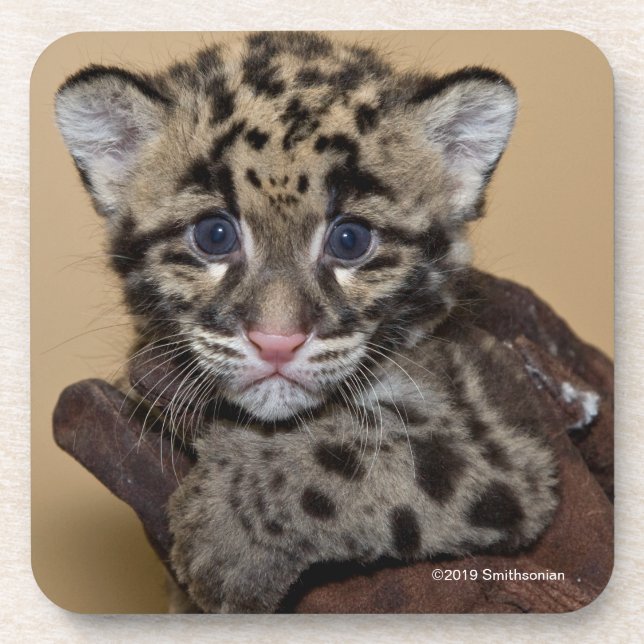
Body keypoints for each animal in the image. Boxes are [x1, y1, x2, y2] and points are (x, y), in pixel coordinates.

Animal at [55, 31, 558, 613]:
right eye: (214, 235)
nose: (277, 341)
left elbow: (366, 458)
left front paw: (227, 531)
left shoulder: (506, 435)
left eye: (350, 240)